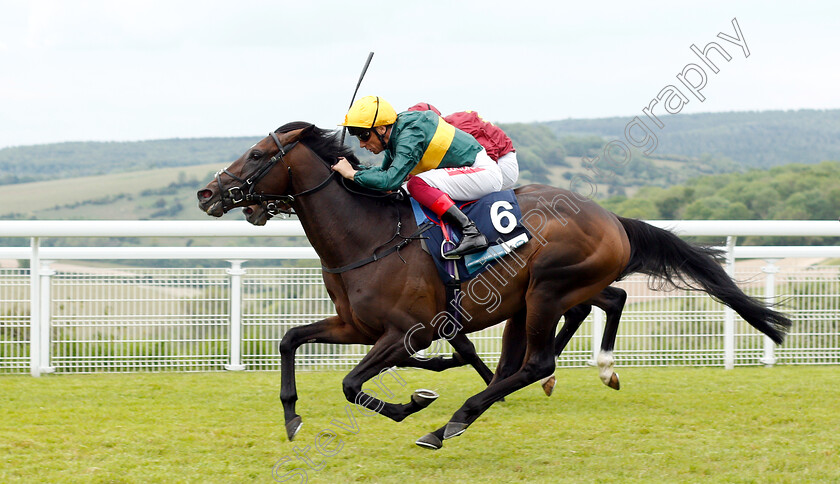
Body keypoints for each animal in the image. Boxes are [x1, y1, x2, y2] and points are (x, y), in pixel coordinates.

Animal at [195, 123, 788, 448]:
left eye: (256, 154)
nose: (207, 193)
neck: (368, 237)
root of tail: (612, 219)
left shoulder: (407, 330)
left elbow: (352, 383)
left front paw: (415, 403)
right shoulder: (355, 325)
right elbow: (290, 339)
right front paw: (293, 417)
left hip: (548, 288)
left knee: (539, 360)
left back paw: (452, 423)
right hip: (537, 297)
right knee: (583, 317)